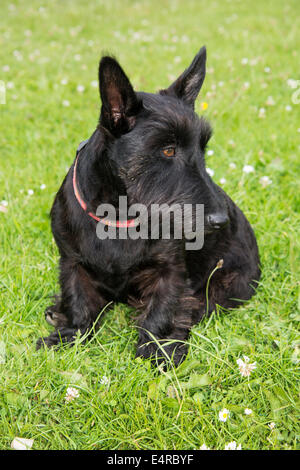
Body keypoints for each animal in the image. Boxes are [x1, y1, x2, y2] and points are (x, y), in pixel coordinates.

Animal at [36, 46, 258, 366]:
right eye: (168, 150)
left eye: (202, 148)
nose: (221, 221)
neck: (119, 214)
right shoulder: (72, 263)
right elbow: (78, 304)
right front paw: (68, 336)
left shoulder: (169, 272)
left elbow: (161, 312)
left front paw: (158, 348)